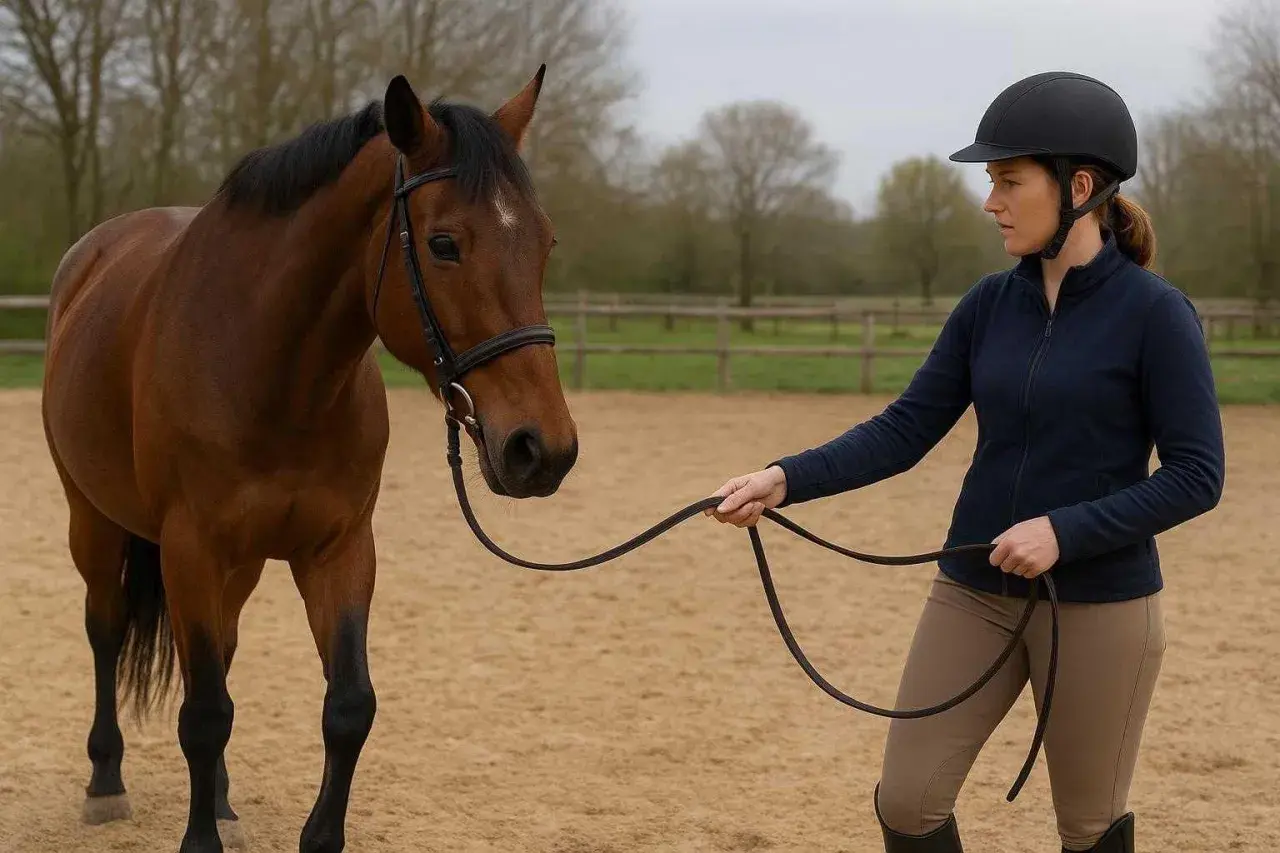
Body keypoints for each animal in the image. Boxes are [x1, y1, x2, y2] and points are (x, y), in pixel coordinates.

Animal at [39, 66, 578, 852]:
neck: (271, 368)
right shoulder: (191, 548)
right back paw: (105, 781)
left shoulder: (340, 548)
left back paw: (220, 799)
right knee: (105, 630)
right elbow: (203, 714)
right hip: (96, 521)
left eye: (545, 242)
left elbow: (347, 707)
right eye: (444, 243)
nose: (542, 448)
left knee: (221, 654)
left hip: (241, 564)